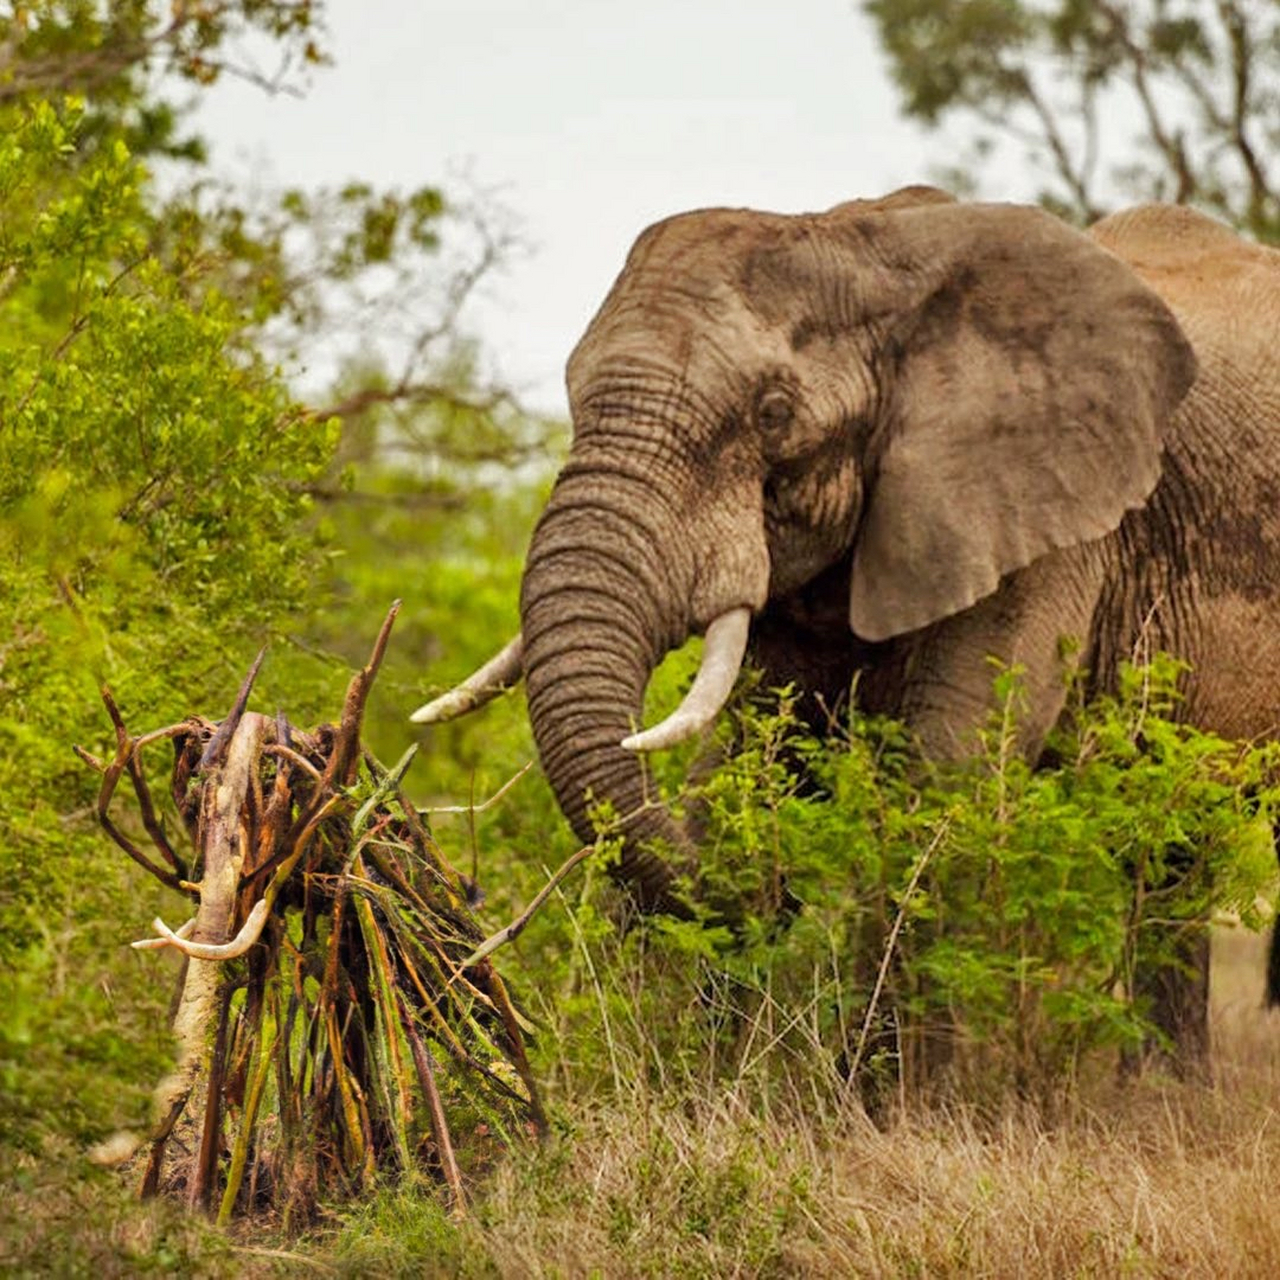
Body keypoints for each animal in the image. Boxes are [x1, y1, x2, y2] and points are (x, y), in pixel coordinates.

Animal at [417, 186, 1280, 1070]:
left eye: (772, 412)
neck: (869, 244)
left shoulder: (1050, 518)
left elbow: (946, 769)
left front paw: (896, 1096)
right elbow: (751, 762)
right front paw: (712, 1074)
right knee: (1177, 847)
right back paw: (1165, 1086)